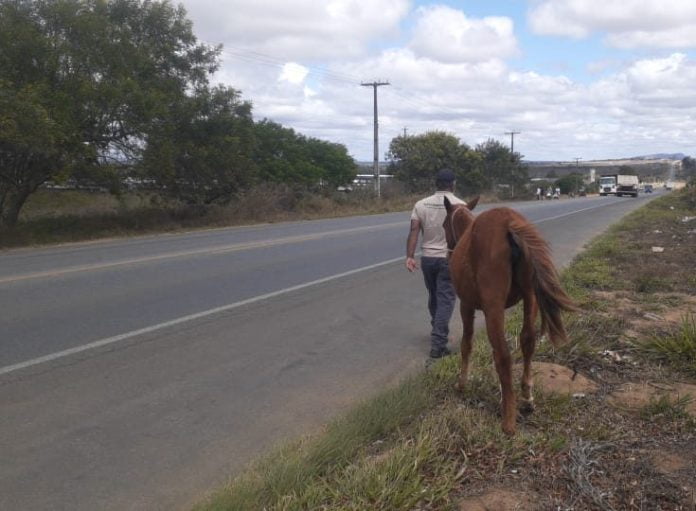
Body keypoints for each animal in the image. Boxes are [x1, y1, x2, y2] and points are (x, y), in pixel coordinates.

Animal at [444, 196, 580, 436]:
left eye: (443, 225)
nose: (447, 251)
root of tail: (508, 222)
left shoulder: (466, 306)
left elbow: (466, 343)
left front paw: (462, 383)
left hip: (493, 306)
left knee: (503, 355)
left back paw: (508, 419)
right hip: (530, 296)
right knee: (527, 341)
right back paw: (526, 397)